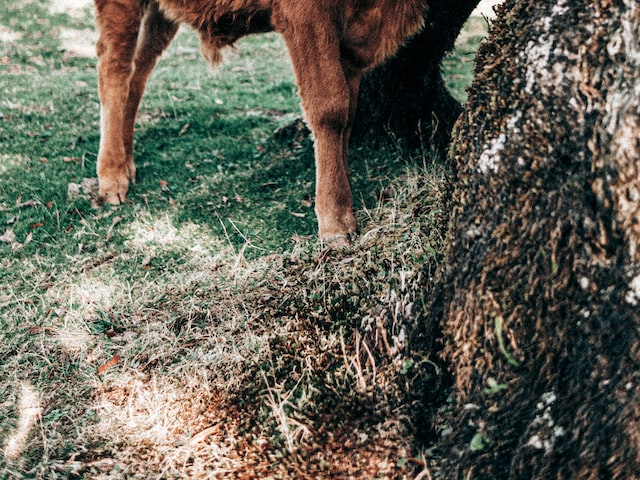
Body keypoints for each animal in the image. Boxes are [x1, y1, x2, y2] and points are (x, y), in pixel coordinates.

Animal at [94, 0, 424, 246]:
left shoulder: (352, 42)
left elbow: (348, 113)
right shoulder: (309, 18)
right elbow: (330, 106)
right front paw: (336, 223)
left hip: (159, 14)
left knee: (138, 72)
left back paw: (127, 164)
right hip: (120, 7)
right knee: (114, 71)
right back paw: (113, 179)